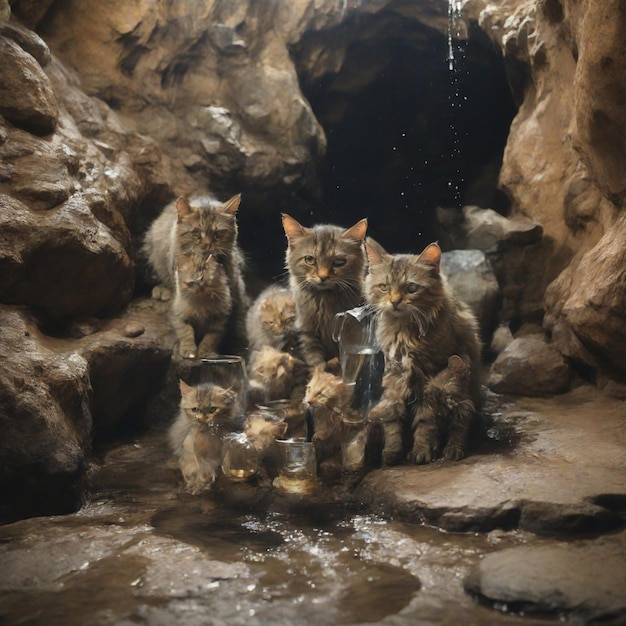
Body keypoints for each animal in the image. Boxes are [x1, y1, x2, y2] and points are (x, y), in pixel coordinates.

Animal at [364, 239, 480, 464]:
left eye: (411, 288)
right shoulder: (393, 374)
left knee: (458, 426)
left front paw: (421, 450)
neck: (403, 333)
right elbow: (392, 418)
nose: (395, 301)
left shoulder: (430, 377)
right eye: (384, 287)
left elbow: (426, 421)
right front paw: (392, 452)